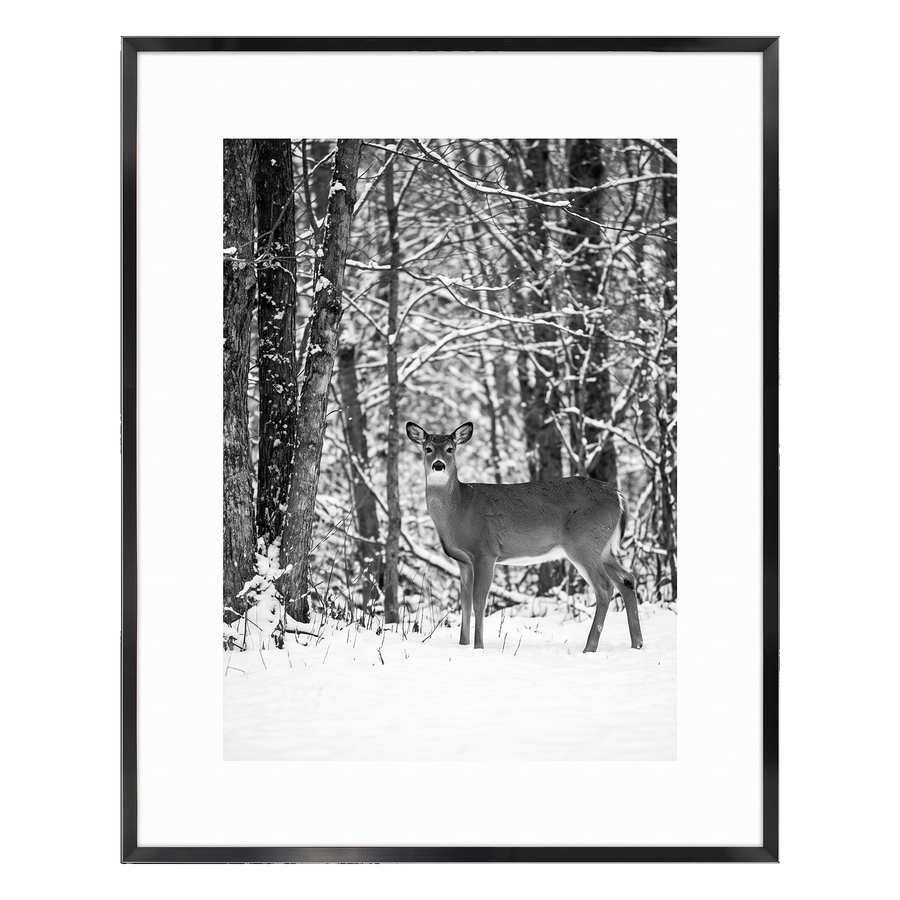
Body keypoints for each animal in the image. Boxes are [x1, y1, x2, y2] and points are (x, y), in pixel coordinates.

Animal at [406, 421, 644, 654]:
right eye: (428, 449)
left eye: (450, 449)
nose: (438, 465)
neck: (460, 508)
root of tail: (619, 496)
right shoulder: (463, 560)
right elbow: (464, 602)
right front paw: (463, 645)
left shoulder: (485, 552)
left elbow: (478, 601)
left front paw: (478, 647)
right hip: (602, 548)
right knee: (627, 580)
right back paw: (637, 644)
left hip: (584, 543)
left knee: (604, 587)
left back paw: (590, 647)